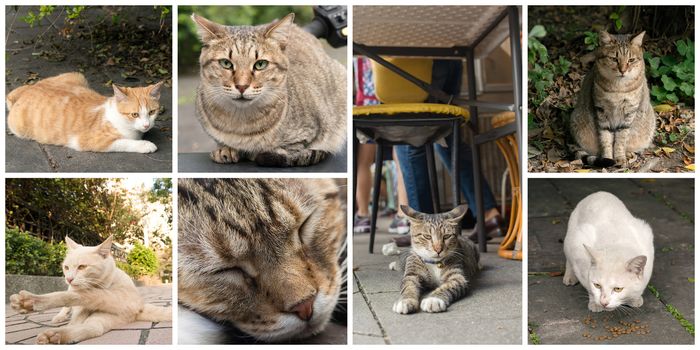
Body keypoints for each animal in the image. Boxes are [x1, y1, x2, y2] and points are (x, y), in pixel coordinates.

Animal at [6, 72, 163, 152]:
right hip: (19, 128)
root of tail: (29, 88)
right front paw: (146, 145)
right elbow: (125, 142)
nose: (146, 125)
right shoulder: (92, 141)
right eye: (134, 114)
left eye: (152, 112)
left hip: (77, 75)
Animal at [9, 235, 172, 344]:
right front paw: (61, 315)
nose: (69, 279)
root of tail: (140, 306)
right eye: (66, 267)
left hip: (108, 307)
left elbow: (76, 301)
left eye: (82, 267)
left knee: (91, 323)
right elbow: (69, 306)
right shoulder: (74, 291)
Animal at [191, 13, 348, 167]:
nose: (242, 86)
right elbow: (222, 141)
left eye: (260, 64)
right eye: (226, 63)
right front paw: (226, 149)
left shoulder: (308, 133)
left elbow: (291, 148)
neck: (241, 124)